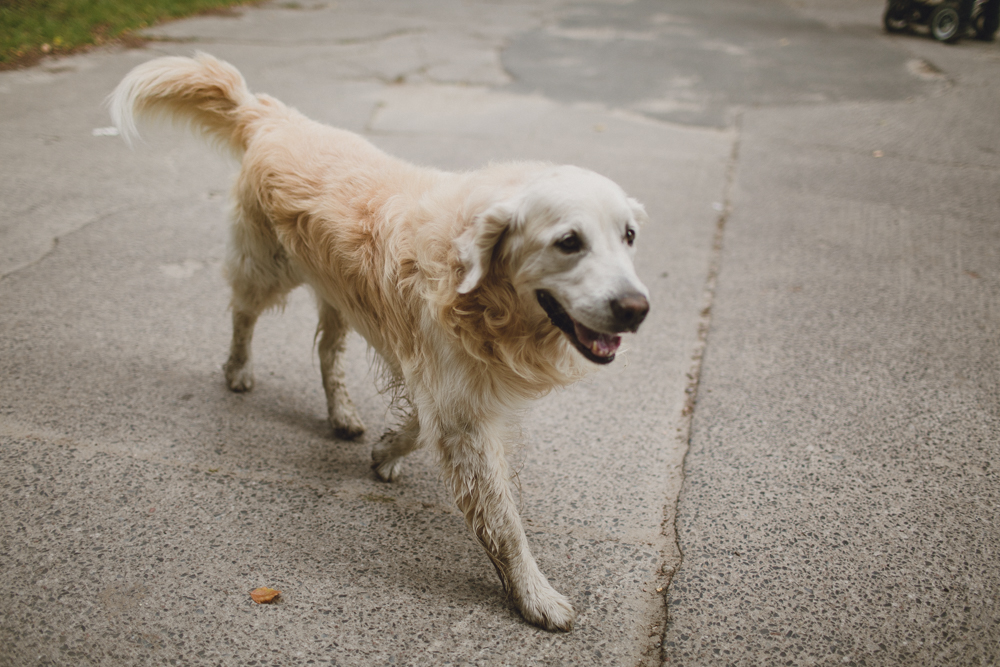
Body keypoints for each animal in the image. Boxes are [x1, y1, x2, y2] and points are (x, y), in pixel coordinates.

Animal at [109, 53, 652, 632]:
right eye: (569, 242)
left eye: (628, 236)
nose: (636, 309)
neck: (478, 295)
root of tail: (274, 118)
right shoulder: (460, 409)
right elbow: (503, 522)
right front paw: (534, 596)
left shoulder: (449, 385)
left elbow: (418, 425)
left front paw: (386, 452)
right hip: (265, 270)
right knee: (242, 313)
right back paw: (237, 370)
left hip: (340, 299)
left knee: (326, 351)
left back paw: (343, 413)